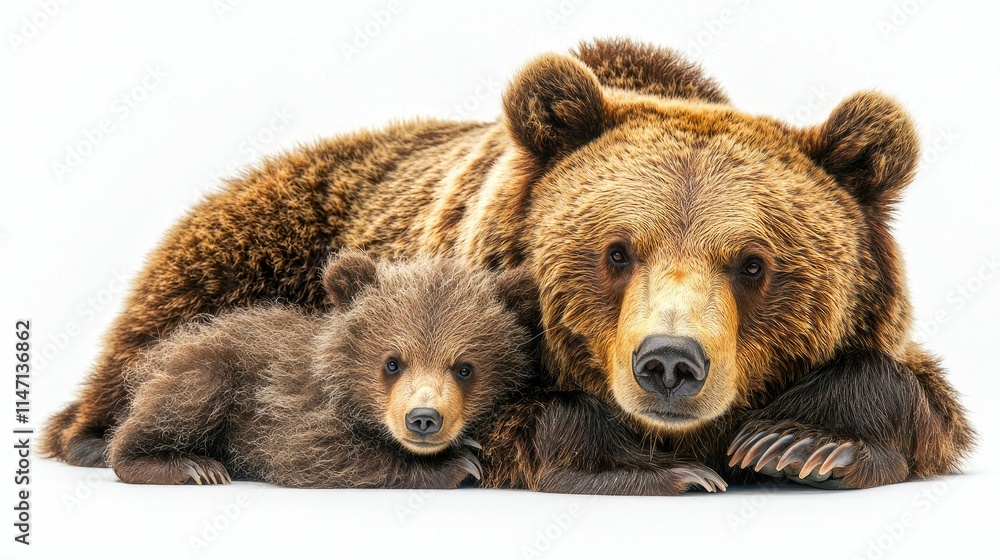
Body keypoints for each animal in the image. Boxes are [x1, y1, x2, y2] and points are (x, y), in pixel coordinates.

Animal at [108, 250, 538, 488]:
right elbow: (309, 451)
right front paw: (456, 462)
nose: (423, 419)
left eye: (465, 368)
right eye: (392, 362)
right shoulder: (286, 401)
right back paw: (192, 466)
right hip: (209, 369)